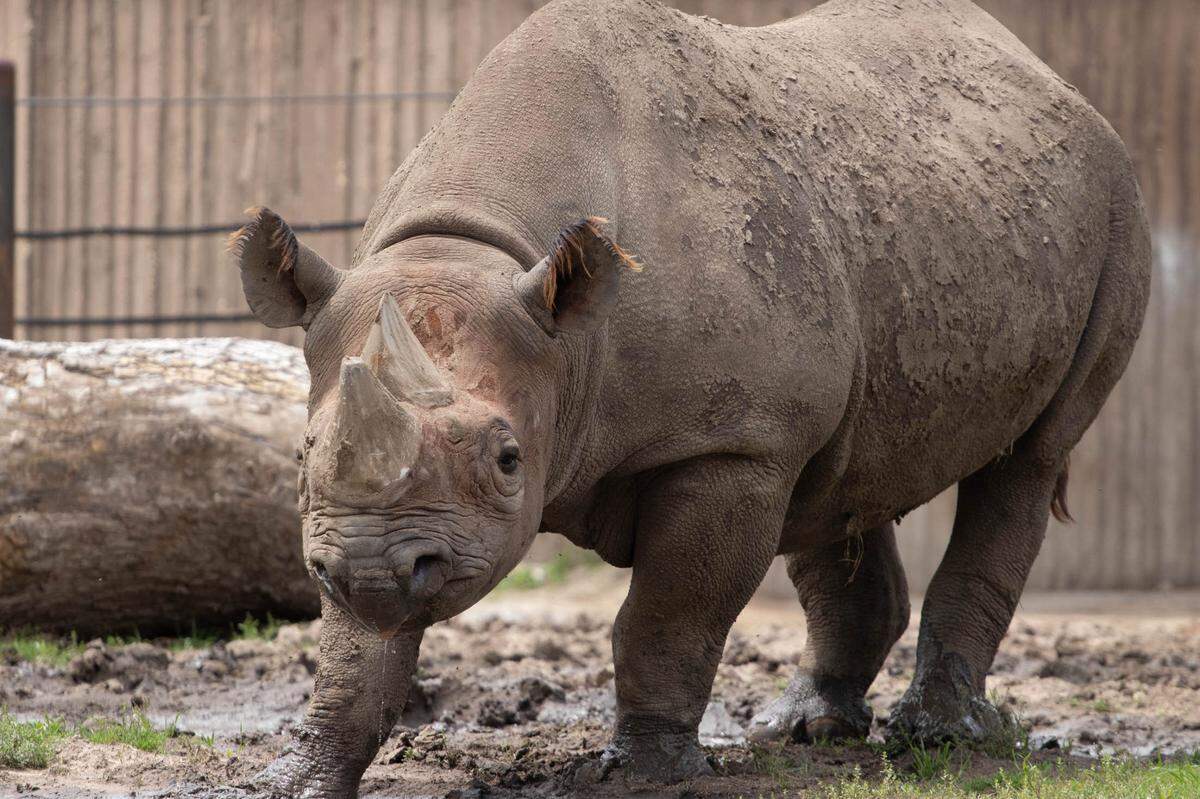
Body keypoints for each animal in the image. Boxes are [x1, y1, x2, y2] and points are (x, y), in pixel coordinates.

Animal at [224, 0, 1149, 794]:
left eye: (508, 459)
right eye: (304, 451)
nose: (374, 569)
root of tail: (1048, 77)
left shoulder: (730, 441)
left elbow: (668, 615)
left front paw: (645, 773)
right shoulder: (354, 505)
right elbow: (354, 647)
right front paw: (296, 779)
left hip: (1115, 207)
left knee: (1029, 458)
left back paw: (942, 739)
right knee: (836, 478)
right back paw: (804, 729)